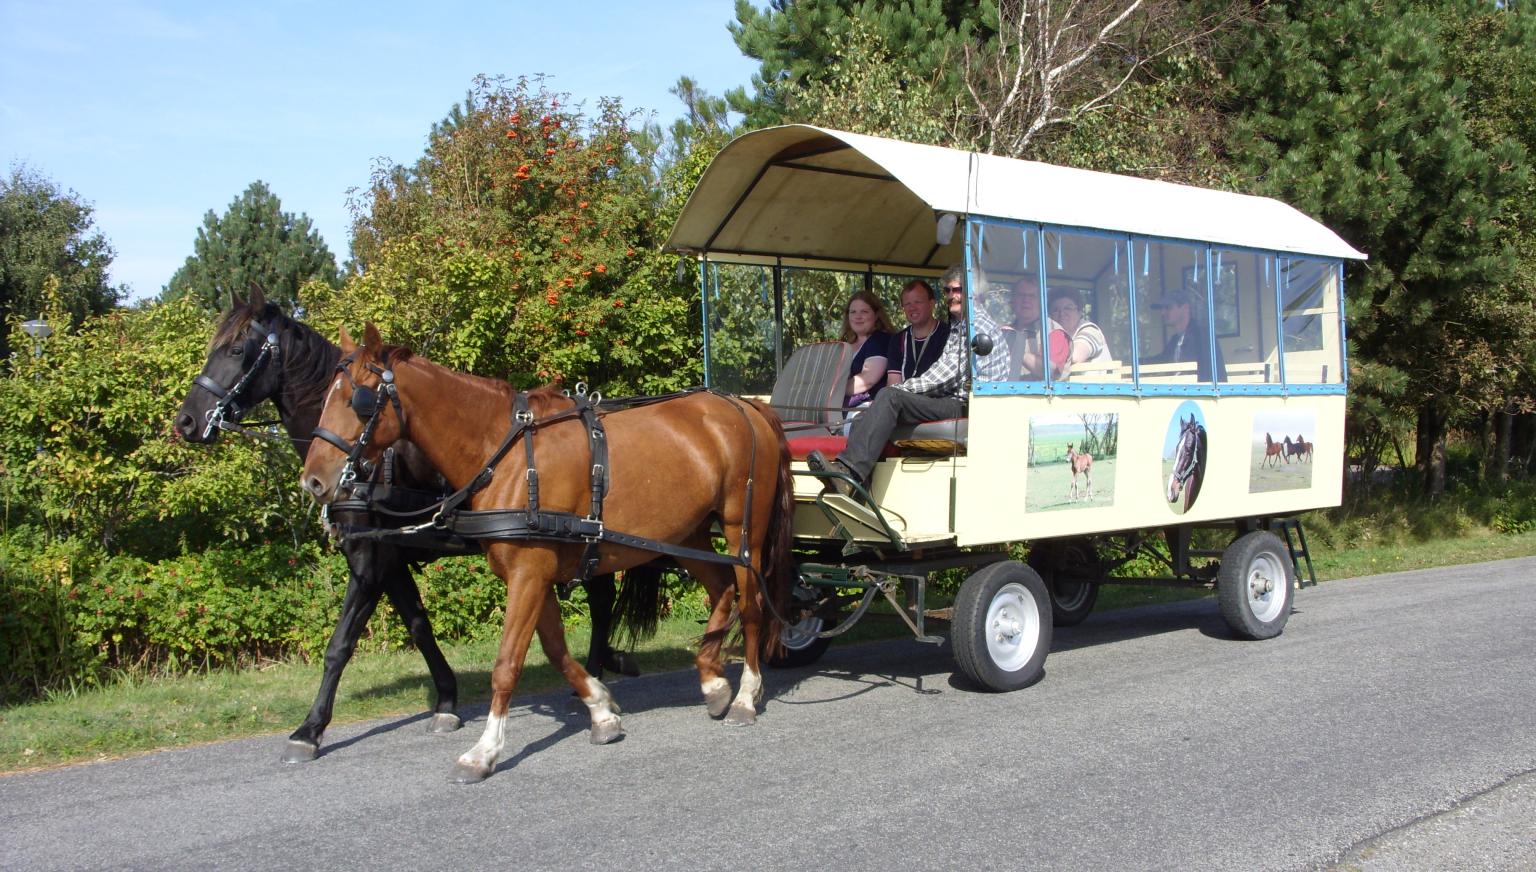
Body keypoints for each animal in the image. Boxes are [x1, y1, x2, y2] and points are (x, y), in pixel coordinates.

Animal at [305, 327, 798, 782]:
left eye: (358, 400)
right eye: (327, 396)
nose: (312, 480)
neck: (502, 456)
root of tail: (746, 406)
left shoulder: (528, 573)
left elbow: (507, 663)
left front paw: (483, 751)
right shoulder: (530, 572)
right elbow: (555, 647)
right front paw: (600, 708)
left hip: (742, 533)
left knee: (752, 605)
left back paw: (745, 695)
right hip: (690, 532)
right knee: (721, 589)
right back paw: (711, 680)